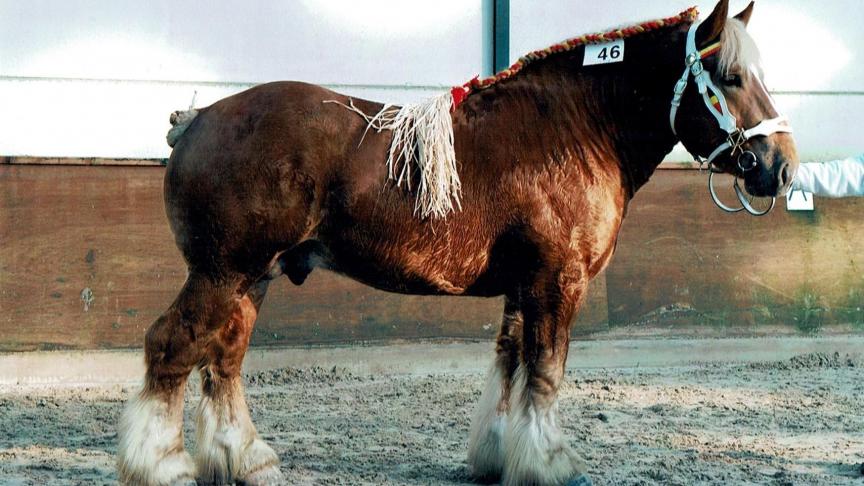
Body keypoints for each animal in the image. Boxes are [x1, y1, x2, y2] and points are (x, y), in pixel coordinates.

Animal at [116, 1, 796, 484]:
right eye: (730, 76)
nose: (781, 166)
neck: (574, 130)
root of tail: (200, 119)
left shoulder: (525, 286)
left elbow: (511, 364)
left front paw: (501, 457)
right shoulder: (558, 281)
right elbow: (546, 372)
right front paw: (549, 463)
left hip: (252, 278)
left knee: (223, 361)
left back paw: (246, 460)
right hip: (222, 273)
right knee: (171, 347)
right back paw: (162, 465)